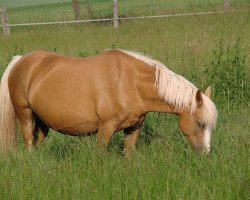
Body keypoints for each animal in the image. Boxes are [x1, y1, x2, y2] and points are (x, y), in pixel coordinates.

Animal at [0, 48, 217, 156]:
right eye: (200, 123)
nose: (204, 154)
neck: (130, 82)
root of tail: (20, 60)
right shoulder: (105, 128)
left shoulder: (134, 128)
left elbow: (128, 154)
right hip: (25, 114)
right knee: (29, 143)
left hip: (43, 123)